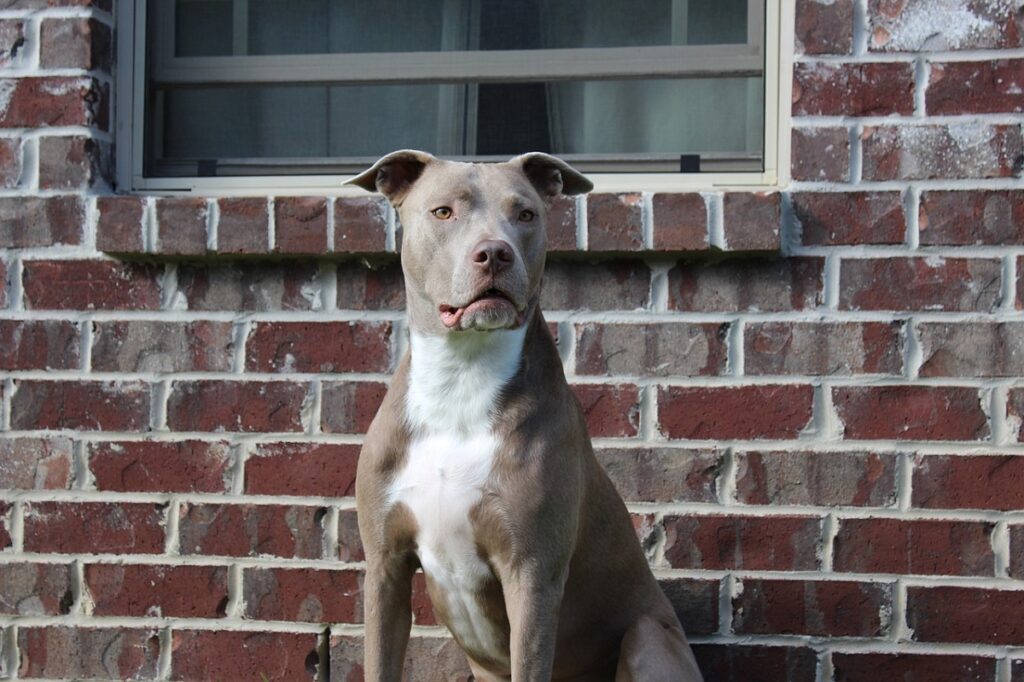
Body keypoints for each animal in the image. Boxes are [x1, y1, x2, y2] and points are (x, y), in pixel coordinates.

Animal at [348, 150, 700, 679]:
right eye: (443, 212)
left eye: (526, 215)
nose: (495, 253)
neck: (461, 379)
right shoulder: (385, 567)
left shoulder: (532, 574)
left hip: (649, 637)